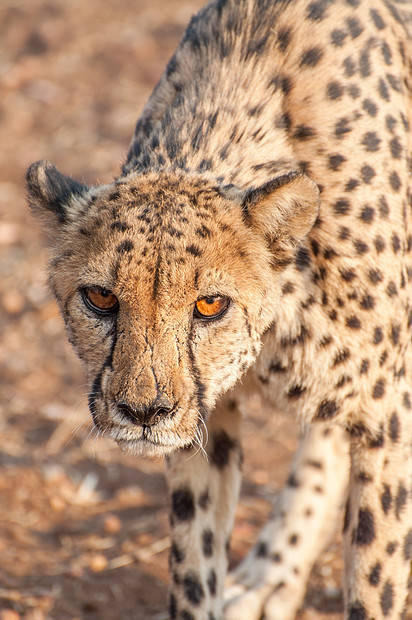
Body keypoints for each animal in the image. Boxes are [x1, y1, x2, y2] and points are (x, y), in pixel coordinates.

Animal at [26, 0, 412, 616]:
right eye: (101, 298)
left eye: (210, 304)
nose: (144, 412)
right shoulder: (206, 414)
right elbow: (194, 554)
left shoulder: (387, 411)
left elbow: (376, 574)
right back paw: (270, 574)